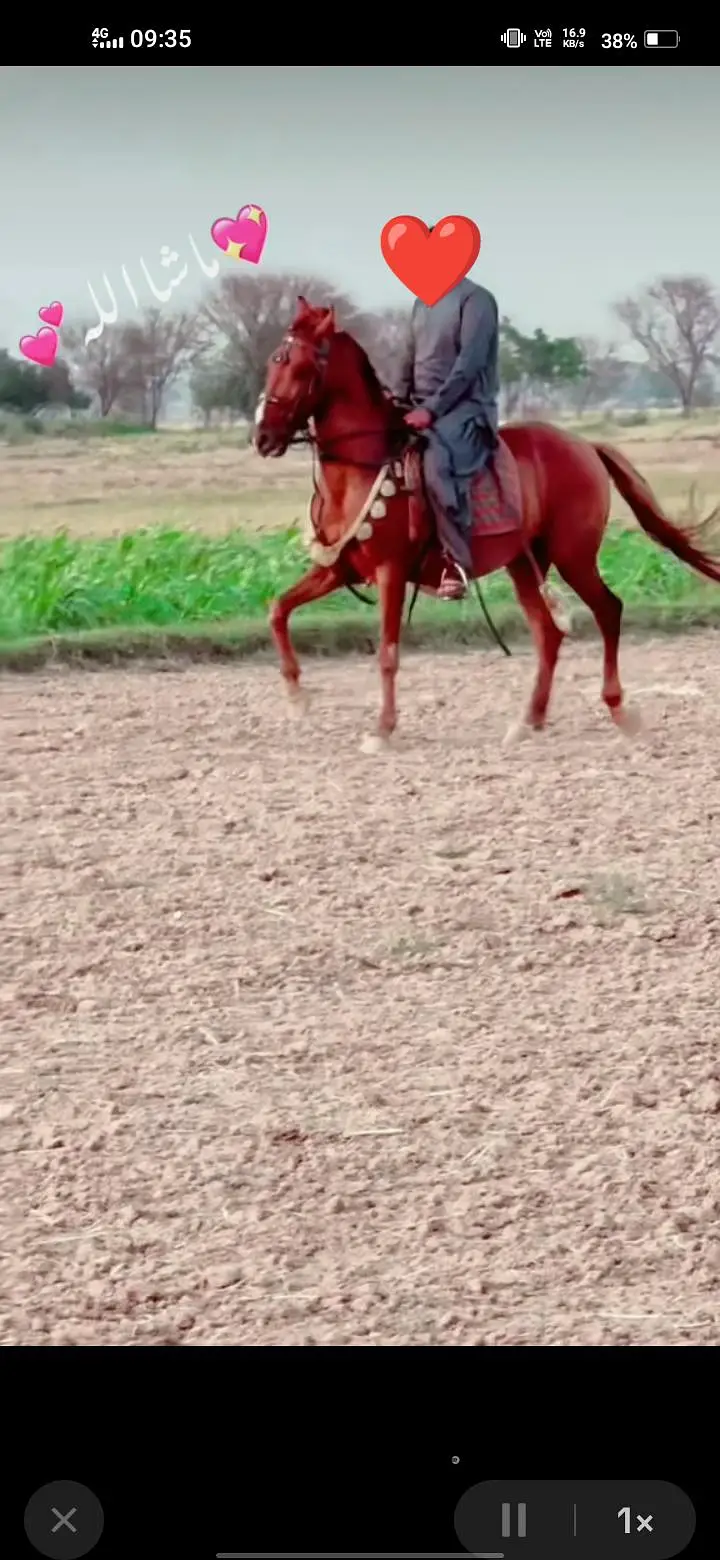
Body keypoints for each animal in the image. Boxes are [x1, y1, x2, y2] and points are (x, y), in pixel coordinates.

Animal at [254, 296, 720, 751]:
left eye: (296, 365)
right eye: (272, 361)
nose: (262, 437)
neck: (365, 466)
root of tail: (585, 446)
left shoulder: (390, 573)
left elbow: (387, 653)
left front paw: (382, 730)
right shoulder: (338, 569)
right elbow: (278, 610)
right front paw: (296, 697)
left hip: (574, 556)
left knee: (608, 610)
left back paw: (619, 709)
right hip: (526, 565)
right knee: (548, 633)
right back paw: (528, 721)